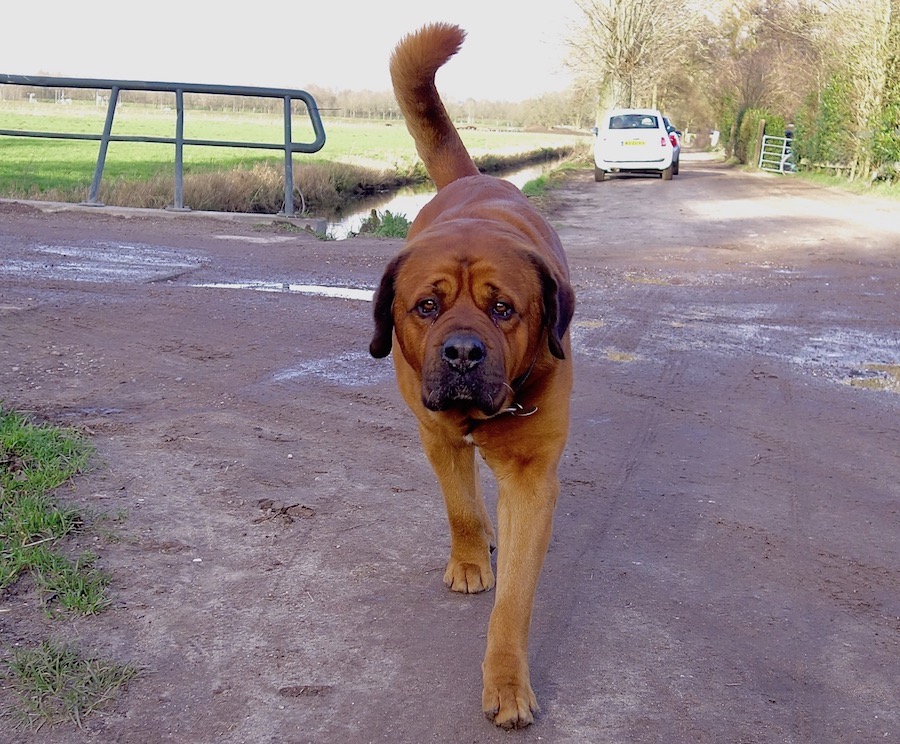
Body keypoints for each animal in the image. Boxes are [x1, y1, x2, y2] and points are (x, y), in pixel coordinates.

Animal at [370, 23, 575, 729]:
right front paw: (467, 558)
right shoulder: (435, 432)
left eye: (503, 309)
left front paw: (507, 681)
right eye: (427, 306)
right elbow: (460, 505)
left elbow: (515, 597)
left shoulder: (533, 477)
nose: (461, 352)